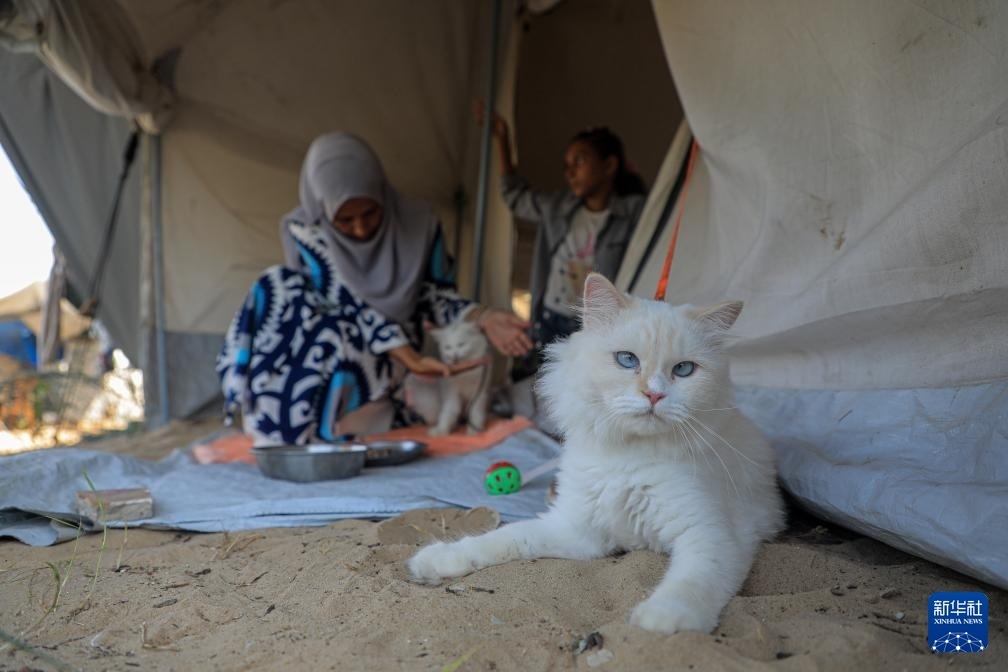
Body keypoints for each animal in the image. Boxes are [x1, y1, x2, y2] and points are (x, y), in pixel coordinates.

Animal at [408, 272, 784, 634]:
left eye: (683, 370)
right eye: (627, 360)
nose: (654, 395)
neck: (626, 458)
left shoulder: (711, 535)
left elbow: (691, 581)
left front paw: (663, 619)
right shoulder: (575, 528)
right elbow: (503, 538)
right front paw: (437, 559)